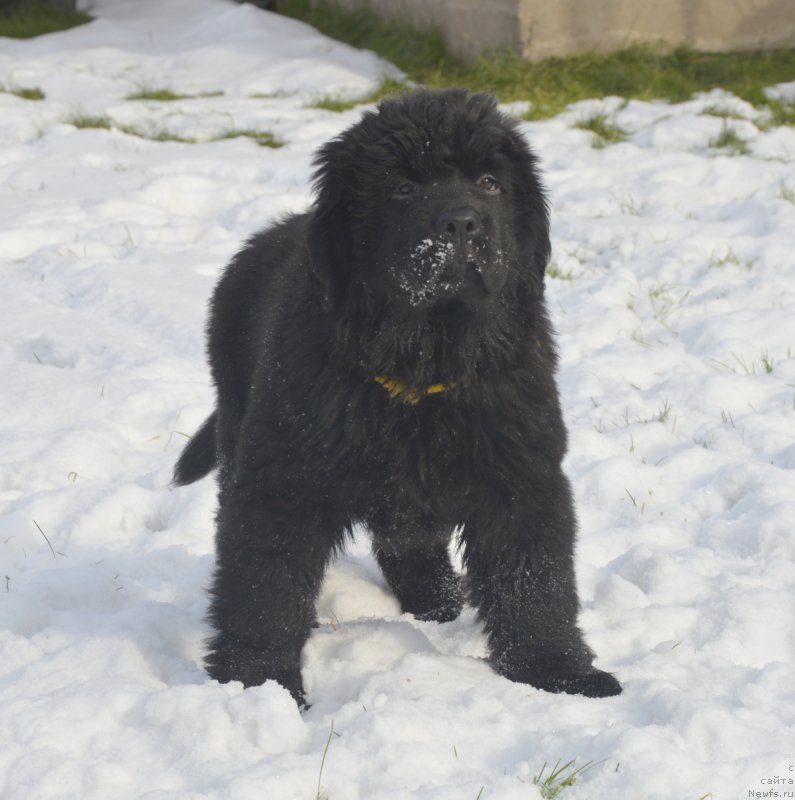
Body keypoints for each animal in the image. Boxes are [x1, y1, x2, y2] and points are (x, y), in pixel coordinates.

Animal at [174, 87, 620, 704]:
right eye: (403, 188)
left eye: (490, 182)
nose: (461, 223)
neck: (423, 366)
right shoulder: (281, 480)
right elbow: (265, 582)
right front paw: (256, 682)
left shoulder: (520, 471)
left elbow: (535, 578)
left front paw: (559, 673)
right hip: (239, 418)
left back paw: (439, 603)